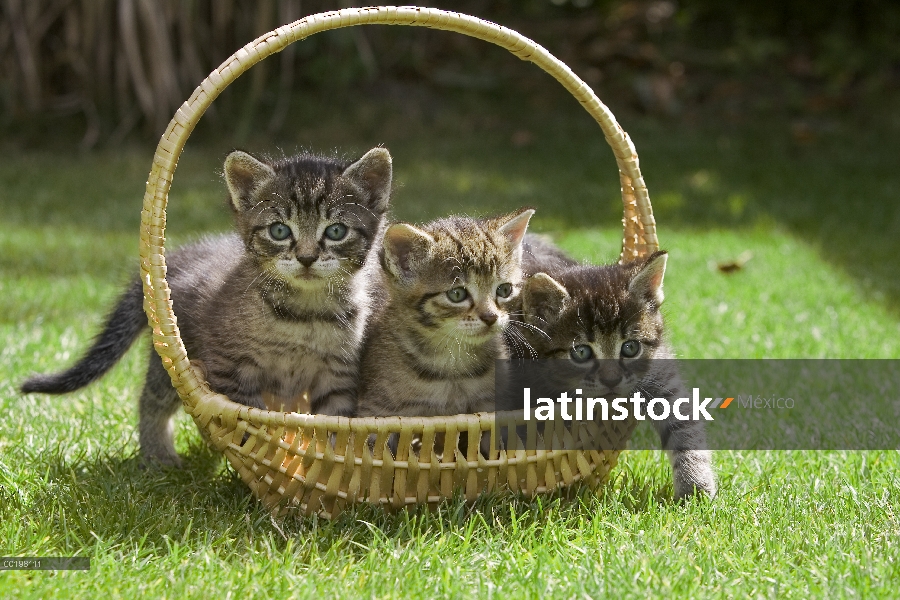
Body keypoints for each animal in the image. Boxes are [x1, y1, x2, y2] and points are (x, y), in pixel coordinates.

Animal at [20, 148, 394, 466]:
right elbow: (253, 423)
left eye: (336, 231)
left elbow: (335, 425)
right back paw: (157, 455)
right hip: (173, 361)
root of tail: (176, 259)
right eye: (278, 230)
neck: (305, 313)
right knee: (150, 398)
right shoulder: (230, 367)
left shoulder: (338, 374)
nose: (306, 257)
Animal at [512, 250, 716, 502]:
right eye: (581, 352)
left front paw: (695, 488)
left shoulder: (661, 375)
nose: (611, 380)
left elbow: (684, 425)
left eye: (630, 348)